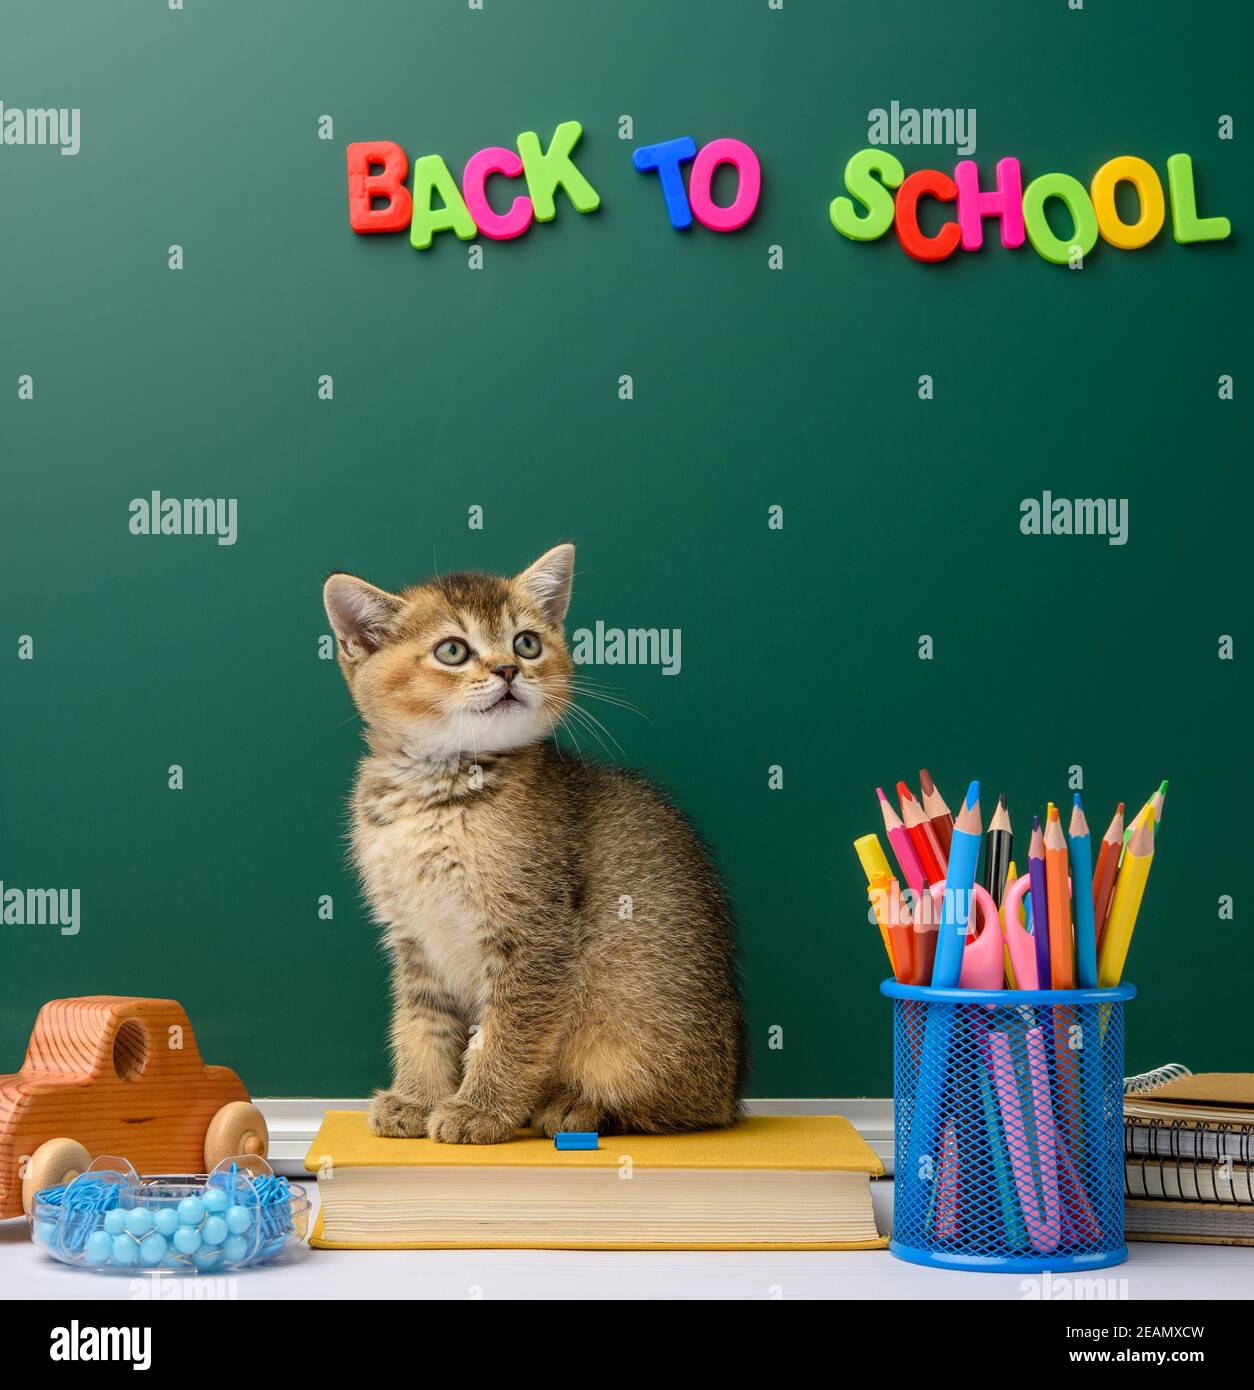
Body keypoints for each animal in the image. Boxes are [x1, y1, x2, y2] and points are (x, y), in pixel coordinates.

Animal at [323, 542, 745, 1139]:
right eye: (452, 650)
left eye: (527, 642)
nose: (508, 669)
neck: (435, 795)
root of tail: (730, 1091)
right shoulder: (414, 937)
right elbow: (421, 1024)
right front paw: (416, 1097)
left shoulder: (535, 933)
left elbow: (508, 1033)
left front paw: (479, 1109)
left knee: (672, 1110)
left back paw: (575, 1106)